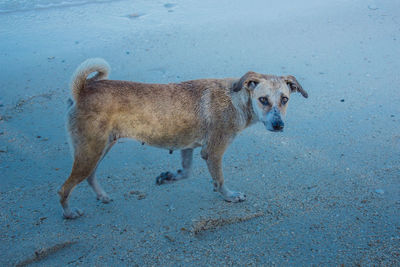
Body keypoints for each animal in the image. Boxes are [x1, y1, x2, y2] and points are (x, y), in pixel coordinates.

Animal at [58, 57, 310, 219]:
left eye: (285, 99)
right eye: (263, 100)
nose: (278, 125)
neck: (237, 98)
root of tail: (82, 90)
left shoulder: (187, 146)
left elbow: (186, 172)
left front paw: (169, 176)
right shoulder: (214, 152)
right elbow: (219, 180)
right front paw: (229, 196)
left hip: (100, 148)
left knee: (90, 176)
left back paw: (102, 197)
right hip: (90, 152)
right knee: (64, 188)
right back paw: (69, 213)